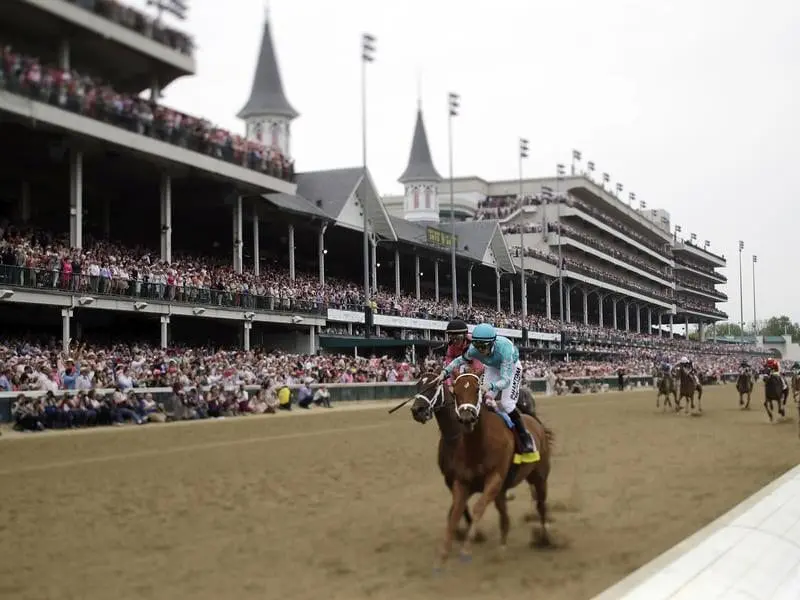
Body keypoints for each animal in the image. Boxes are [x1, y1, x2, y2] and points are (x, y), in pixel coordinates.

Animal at [434, 368, 552, 568]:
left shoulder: (494, 480)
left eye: (477, 390)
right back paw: (502, 548)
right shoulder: (462, 482)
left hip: (539, 476)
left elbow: (478, 508)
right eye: (455, 392)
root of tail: (535, 422)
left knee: (541, 505)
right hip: (504, 490)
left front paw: (466, 549)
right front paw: (443, 556)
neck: (478, 446)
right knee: (505, 517)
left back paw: (544, 539)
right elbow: (455, 512)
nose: (467, 418)